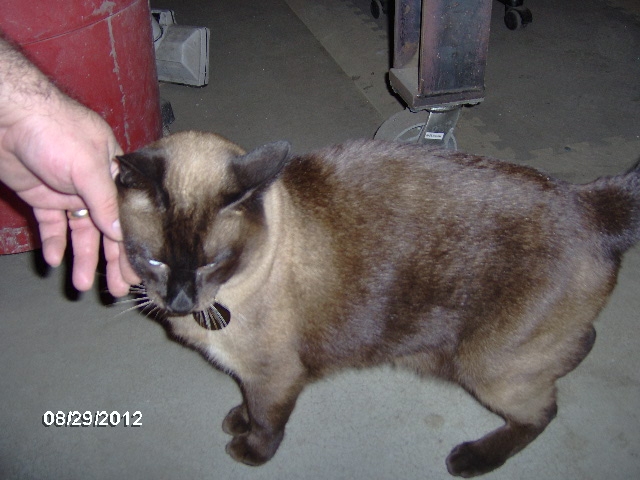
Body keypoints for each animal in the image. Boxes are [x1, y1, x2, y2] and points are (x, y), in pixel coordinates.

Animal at [115, 130, 640, 476]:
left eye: (212, 263)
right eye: (154, 260)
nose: (179, 299)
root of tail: (590, 201)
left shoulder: (275, 376)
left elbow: (267, 421)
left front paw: (249, 451)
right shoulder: (251, 375)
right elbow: (247, 402)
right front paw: (236, 420)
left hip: (486, 367)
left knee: (543, 411)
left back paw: (470, 459)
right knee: (581, 344)